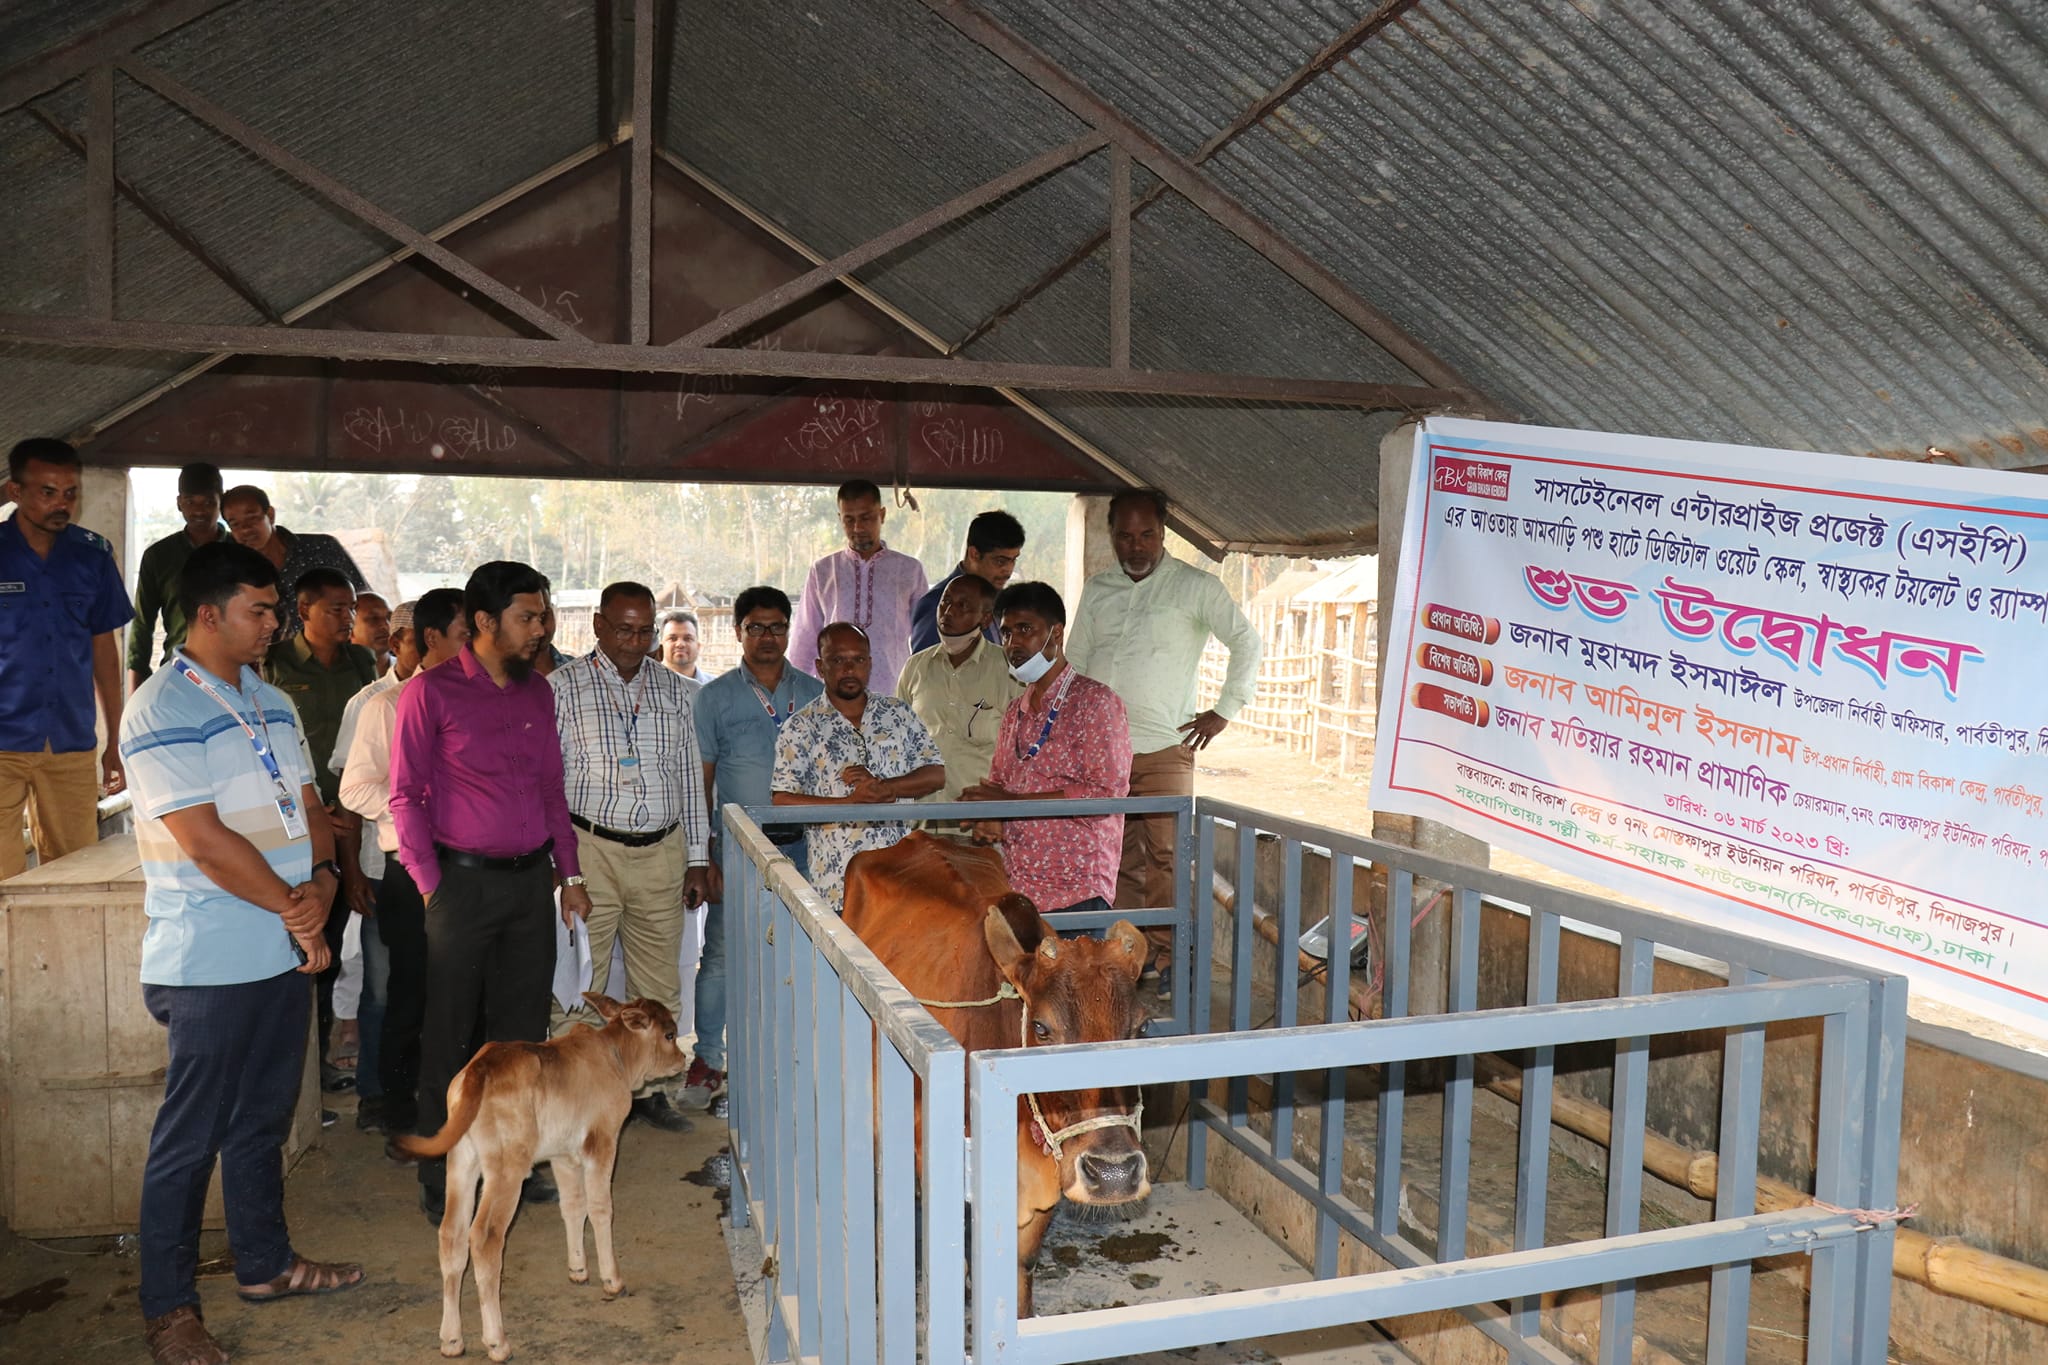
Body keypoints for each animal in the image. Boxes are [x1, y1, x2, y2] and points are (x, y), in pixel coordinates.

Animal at [395, 994, 692, 1365]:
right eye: (669, 1034)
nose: (682, 1059)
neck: (614, 1055)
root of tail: (480, 1069)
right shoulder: (602, 1142)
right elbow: (600, 1208)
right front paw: (612, 1279)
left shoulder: (562, 1155)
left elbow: (573, 1206)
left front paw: (578, 1269)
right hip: (507, 1169)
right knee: (484, 1238)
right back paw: (497, 1342)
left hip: (461, 1162)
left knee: (452, 1235)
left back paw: (451, 1339)